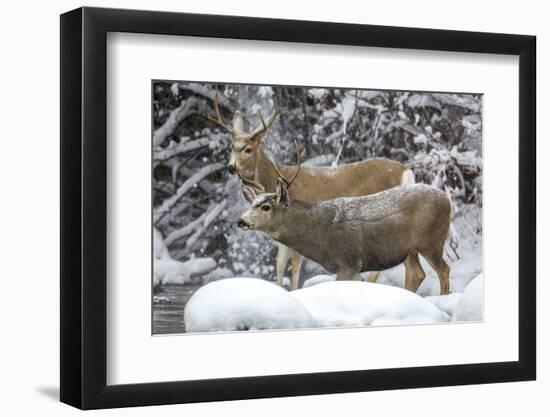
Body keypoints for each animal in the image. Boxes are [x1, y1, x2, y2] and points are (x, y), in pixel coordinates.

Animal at [207, 94, 414, 290]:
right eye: (231, 147)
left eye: (248, 149)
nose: (231, 167)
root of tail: (406, 171)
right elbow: (279, 263)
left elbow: (294, 266)